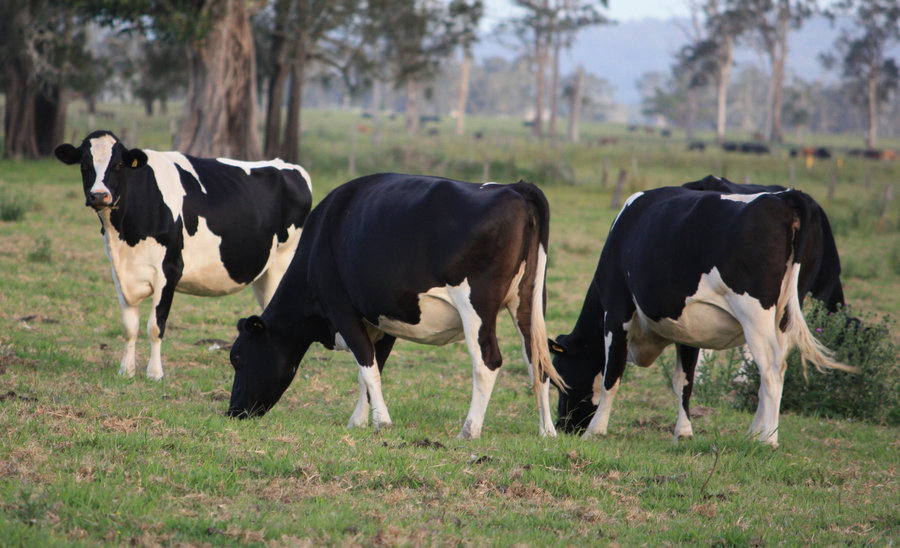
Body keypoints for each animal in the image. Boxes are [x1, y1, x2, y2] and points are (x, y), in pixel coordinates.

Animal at [55, 132, 312, 382]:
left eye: (118, 164)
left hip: (284, 266)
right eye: (85, 165)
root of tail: (288, 166)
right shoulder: (120, 273)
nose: (99, 196)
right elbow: (129, 327)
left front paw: (155, 374)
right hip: (263, 275)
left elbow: (155, 325)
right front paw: (126, 371)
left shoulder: (169, 270)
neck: (125, 235)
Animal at [225, 173, 564, 438]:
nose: (233, 413)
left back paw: (469, 430)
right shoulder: (382, 320)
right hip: (530, 301)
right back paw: (546, 431)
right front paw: (360, 421)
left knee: (487, 362)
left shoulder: (342, 309)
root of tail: (515, 188)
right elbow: (372, 367)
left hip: (476, 306)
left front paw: (381, 423)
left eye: (237, 358)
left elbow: (367, 366)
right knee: (538, 360)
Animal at [548, 182, 856, 448]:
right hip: (786, 314)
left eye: (559, 376)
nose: (564, 426)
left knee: (772, 369)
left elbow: (612, 375)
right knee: (767, 372)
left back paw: (767, 439)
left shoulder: (616, 312)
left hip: (755, 314)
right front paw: (683, 433)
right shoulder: (689, 329)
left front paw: (595, 431)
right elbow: (683, 382)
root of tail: (786, 197)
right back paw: (753, 434)